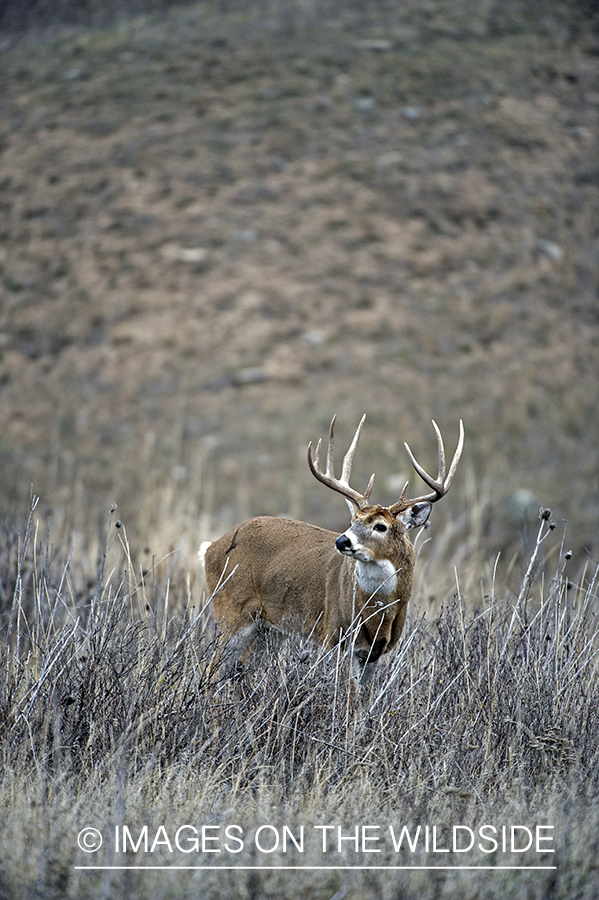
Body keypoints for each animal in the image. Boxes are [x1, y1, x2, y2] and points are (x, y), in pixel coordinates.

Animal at [202, 414, 464, 688]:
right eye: (353, 521)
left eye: (380, 526)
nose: (341, 541)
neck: (377, 615)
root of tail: (211, 548)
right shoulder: (335, 636)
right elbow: (346, 693)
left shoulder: (375, 652)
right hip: (232, 613)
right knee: (212, 671)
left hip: (268, 629)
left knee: (243, 674)